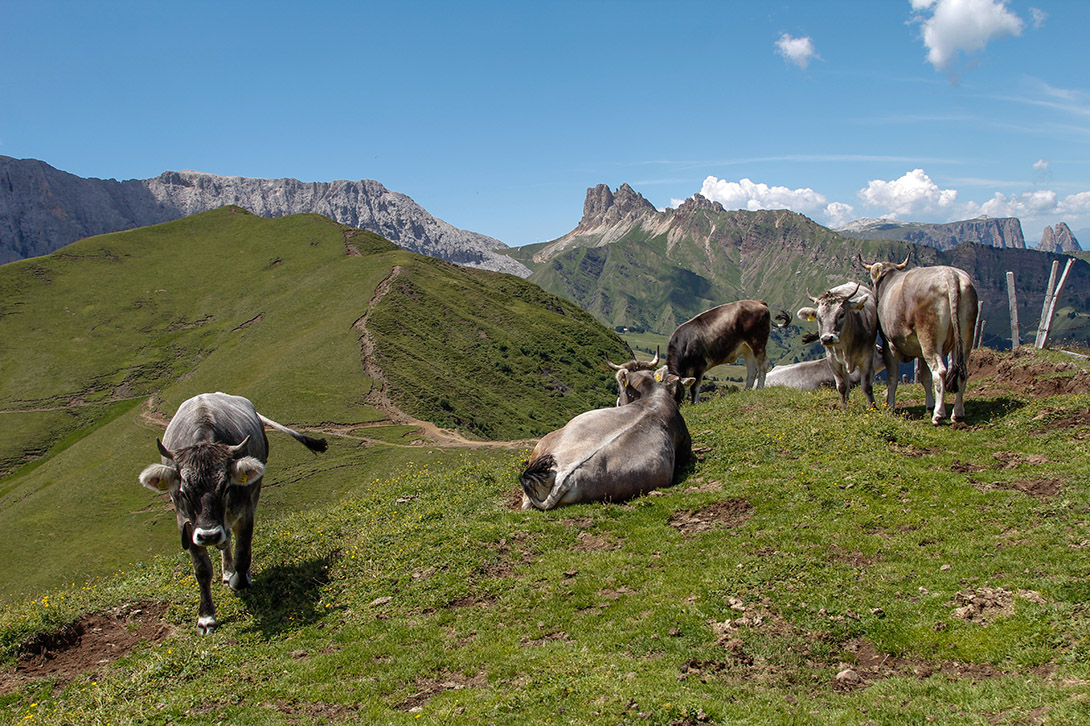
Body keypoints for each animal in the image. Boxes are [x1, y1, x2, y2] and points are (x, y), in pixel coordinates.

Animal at [136, 390, 324, 632]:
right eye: (184, 492)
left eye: (225, 487)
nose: (208, 535)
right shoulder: (185, 523)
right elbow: (202, 569)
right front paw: (206, 617)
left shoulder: (245, 512)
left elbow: (243, 555)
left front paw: (238, 579)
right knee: (224, 543)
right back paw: (226, 569)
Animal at [662, 298, 793, 403]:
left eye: (677, 390)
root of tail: (758, 302)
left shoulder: (699, 366)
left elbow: (694, 388)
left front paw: (694, 404)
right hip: (747, 348)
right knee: (752, 369)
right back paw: (746, 390)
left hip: (758, 341)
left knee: (763, 365)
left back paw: (759, 388)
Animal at [858, 256, 981, 420]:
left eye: (870, 282)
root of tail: (950, 275)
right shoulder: (920, 352)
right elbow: (925, 378)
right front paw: (929, 405)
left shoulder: (889, 345)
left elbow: (892, 378)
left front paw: (890, 406)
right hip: (964, 337)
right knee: (962, 372)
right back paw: (957, 412)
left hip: (929, 338)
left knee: (939, 371)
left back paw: (938, 415)